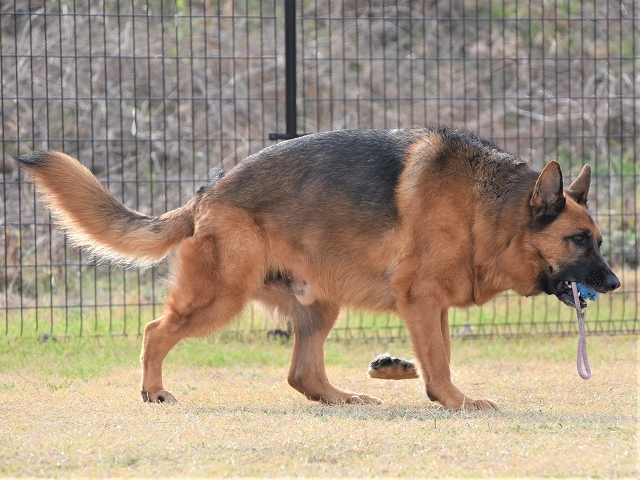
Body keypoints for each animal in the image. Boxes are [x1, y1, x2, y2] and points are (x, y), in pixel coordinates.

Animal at [18, 126, 620, 408]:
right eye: (577, 241)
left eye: (598, 241)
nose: (615, 283)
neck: (489, 210)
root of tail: (205, 195)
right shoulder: (421, 298)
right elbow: (441, 363)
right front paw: (456, 402)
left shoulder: (434, 306)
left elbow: (438, 357)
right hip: (219, 299)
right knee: (153, 330)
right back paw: (153, 391)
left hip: (319, 305)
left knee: (302, 376)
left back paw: (346, 397)